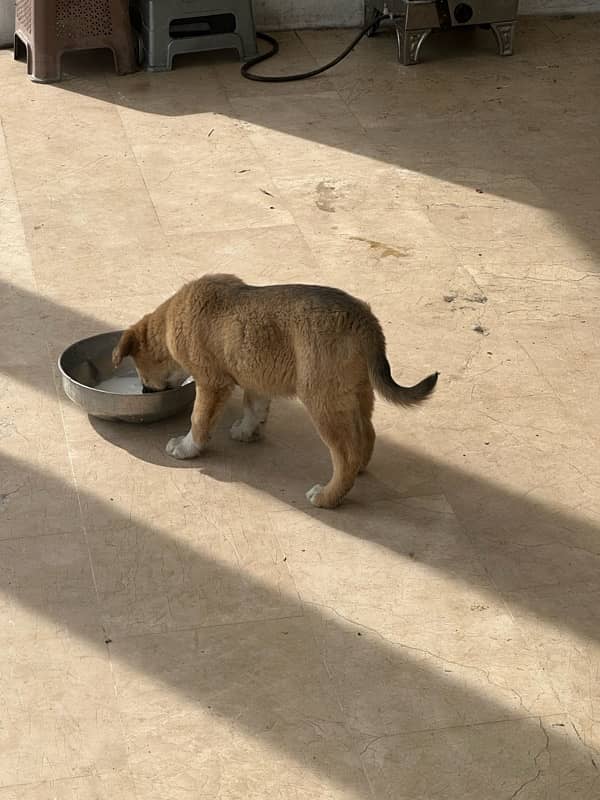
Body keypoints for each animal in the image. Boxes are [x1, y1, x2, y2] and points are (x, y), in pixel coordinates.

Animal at [113, 276, 436, 510]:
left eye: (141, 373)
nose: (144, 390)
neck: (171, 321)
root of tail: (363, 320)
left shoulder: (212, 383)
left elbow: (199, 420)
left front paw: (186, 447)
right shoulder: (255, 376)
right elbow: (254, 407)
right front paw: (246, 431)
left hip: (322, 400)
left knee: (346, 454)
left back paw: (327, 497)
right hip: (356, 392)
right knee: (366, 435)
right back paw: (357, 472)